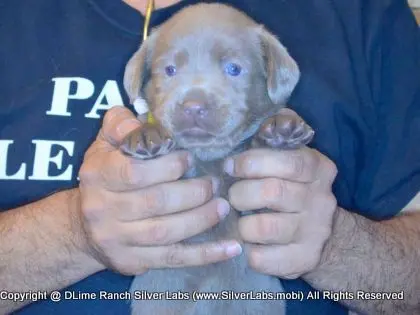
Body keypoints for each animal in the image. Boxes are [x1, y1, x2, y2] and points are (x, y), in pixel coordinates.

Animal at [120, 3, 314, 315]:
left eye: (233, 69)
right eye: (170, 70)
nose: (193, 106)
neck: (210, 158)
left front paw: (282, 127)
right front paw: (146, 135)